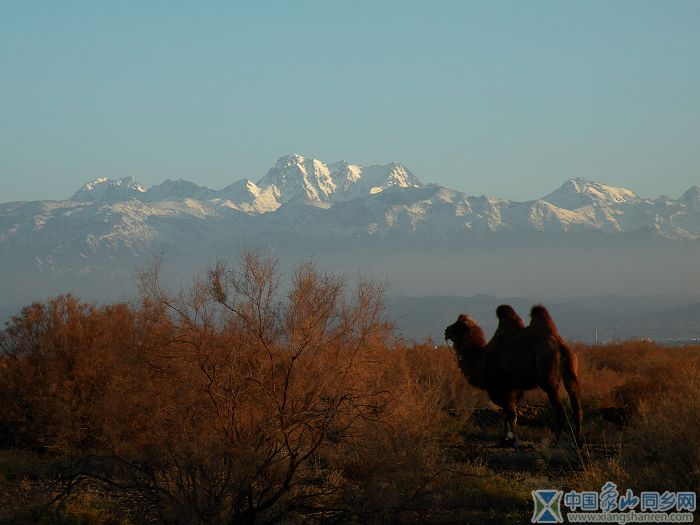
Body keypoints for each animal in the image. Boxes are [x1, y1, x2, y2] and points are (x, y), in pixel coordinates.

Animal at [446, 302, 584, 446]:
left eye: (457, 326)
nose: (446, 330)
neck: (481, 358)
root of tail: (562, 346)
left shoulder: (499, 386)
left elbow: (510, 413)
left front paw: (512, 439)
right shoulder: (514, 387)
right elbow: (508, 413)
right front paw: (505, 438)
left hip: (548, 377)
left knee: (560, 410)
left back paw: (555, 441)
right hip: (571, 373)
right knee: (577, 407)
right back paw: (578, 441)